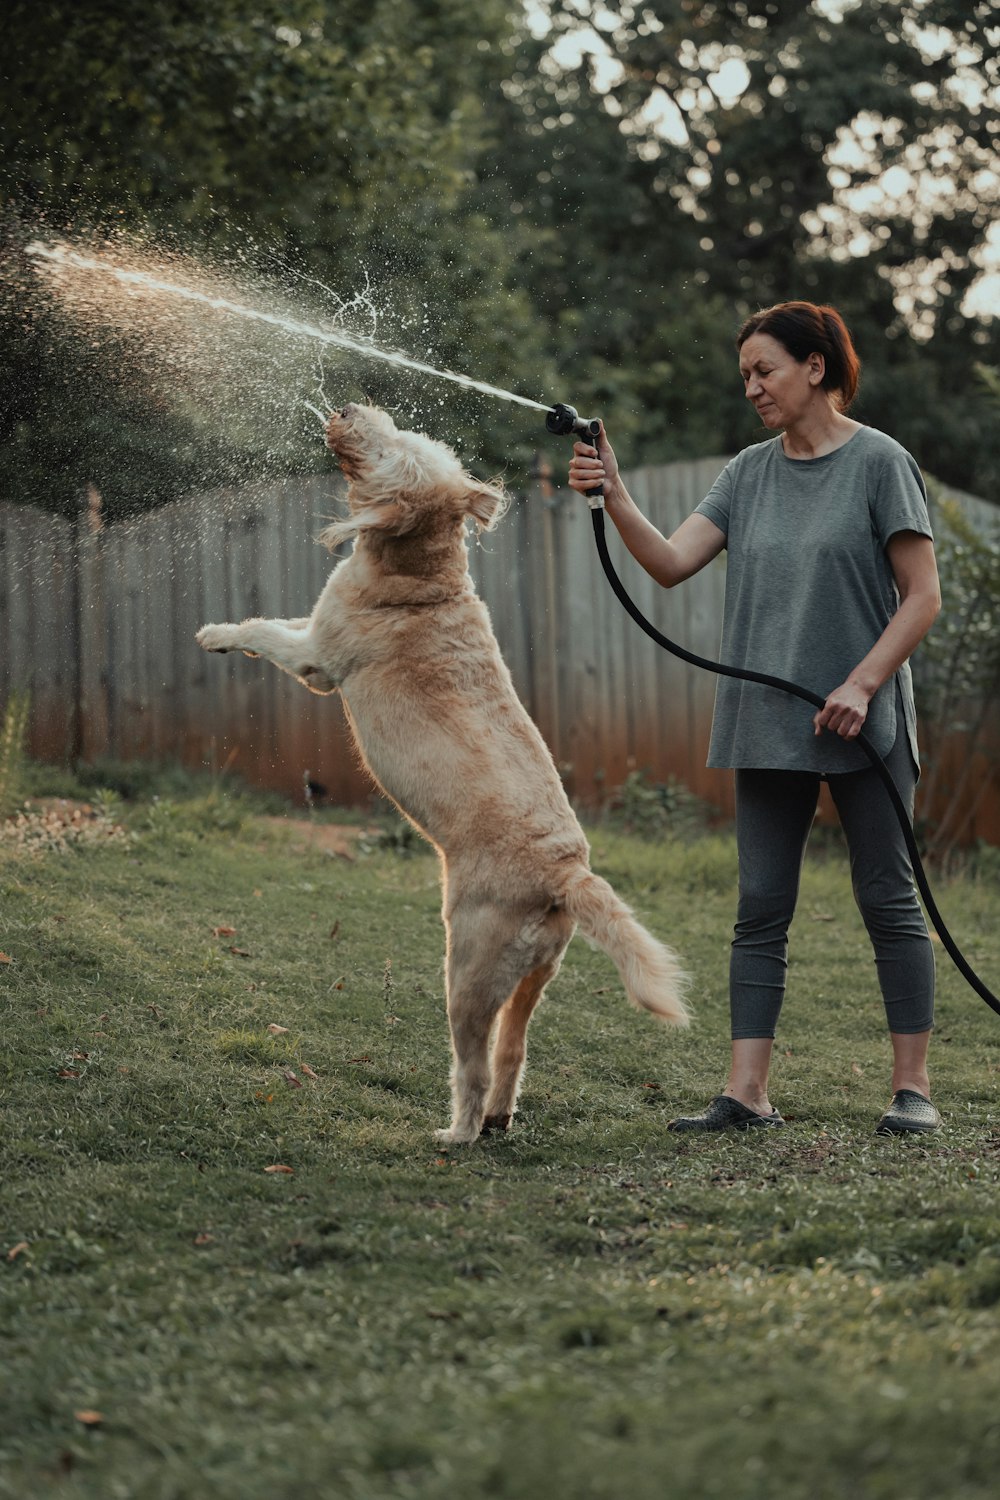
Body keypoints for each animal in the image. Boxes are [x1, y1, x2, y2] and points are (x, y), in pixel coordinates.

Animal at [199, 405, 692, 1140]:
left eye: (394, 448)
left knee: (475, 1063)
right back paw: (496, 1120)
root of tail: (567, 874)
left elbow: (264, 631)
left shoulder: (317, 659)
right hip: (534, 977)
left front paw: (216, 634)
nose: (350, 410)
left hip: (468, 970)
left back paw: (456, 1131)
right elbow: (276, 622)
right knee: (512, 1054)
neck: (423, 577)